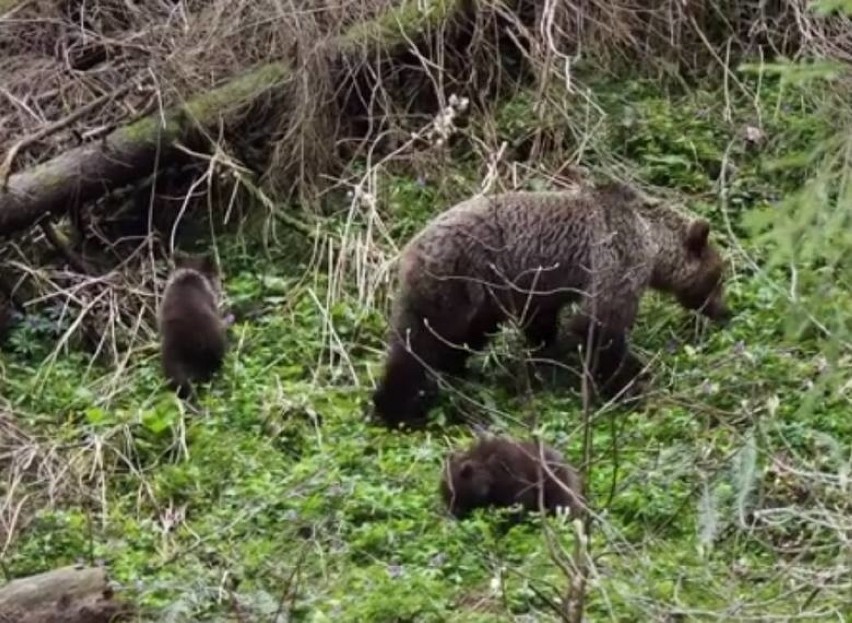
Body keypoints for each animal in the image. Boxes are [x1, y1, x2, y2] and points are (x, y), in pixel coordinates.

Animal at [376, 180, 728, 428]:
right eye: (717, 277)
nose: (725, 311)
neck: (652, 239)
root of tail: (408, 250)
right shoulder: (617, 255)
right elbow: (602, 322)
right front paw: (630, 382)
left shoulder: (542, 285)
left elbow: (543, 321)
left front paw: (546, 360)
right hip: (456, 279)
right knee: (419, 346)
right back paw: (397, 410)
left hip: (474, 296)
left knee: (447, 338)